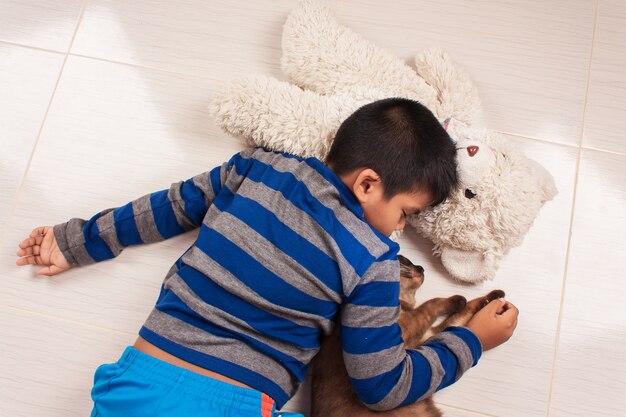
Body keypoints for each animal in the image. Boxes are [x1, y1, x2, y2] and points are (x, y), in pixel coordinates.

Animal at [310, 254, 504, 416]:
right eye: (404, 260)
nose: (421, 268)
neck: (403, 303)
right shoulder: (412, 328)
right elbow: (433, 304)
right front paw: (459, 300)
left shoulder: (425, 338)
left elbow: (465, 313)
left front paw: (495, 299)